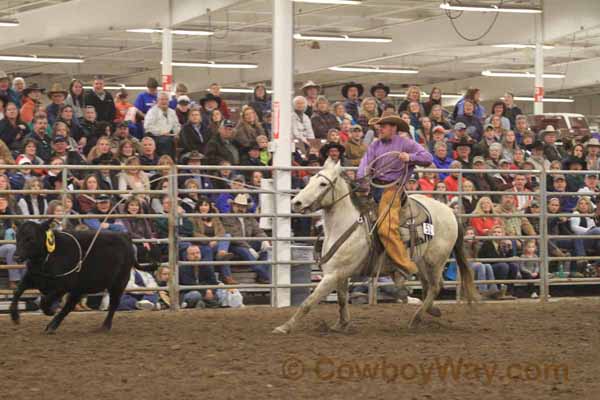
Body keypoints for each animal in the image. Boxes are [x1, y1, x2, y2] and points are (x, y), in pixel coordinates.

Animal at [276, 158, 478, 332]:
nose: (296, 202)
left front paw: (284, 327)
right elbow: (341, 299)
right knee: (429, 286)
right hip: (420, 262)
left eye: (323, 184)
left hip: (435, 261)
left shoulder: (332, 275)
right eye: (310, 179)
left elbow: (308, 302)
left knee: (435, 287)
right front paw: (341, 324)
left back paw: (416, 319)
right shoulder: (339, 274)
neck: (344, 225)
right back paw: (430, 310)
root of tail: (450, 212)